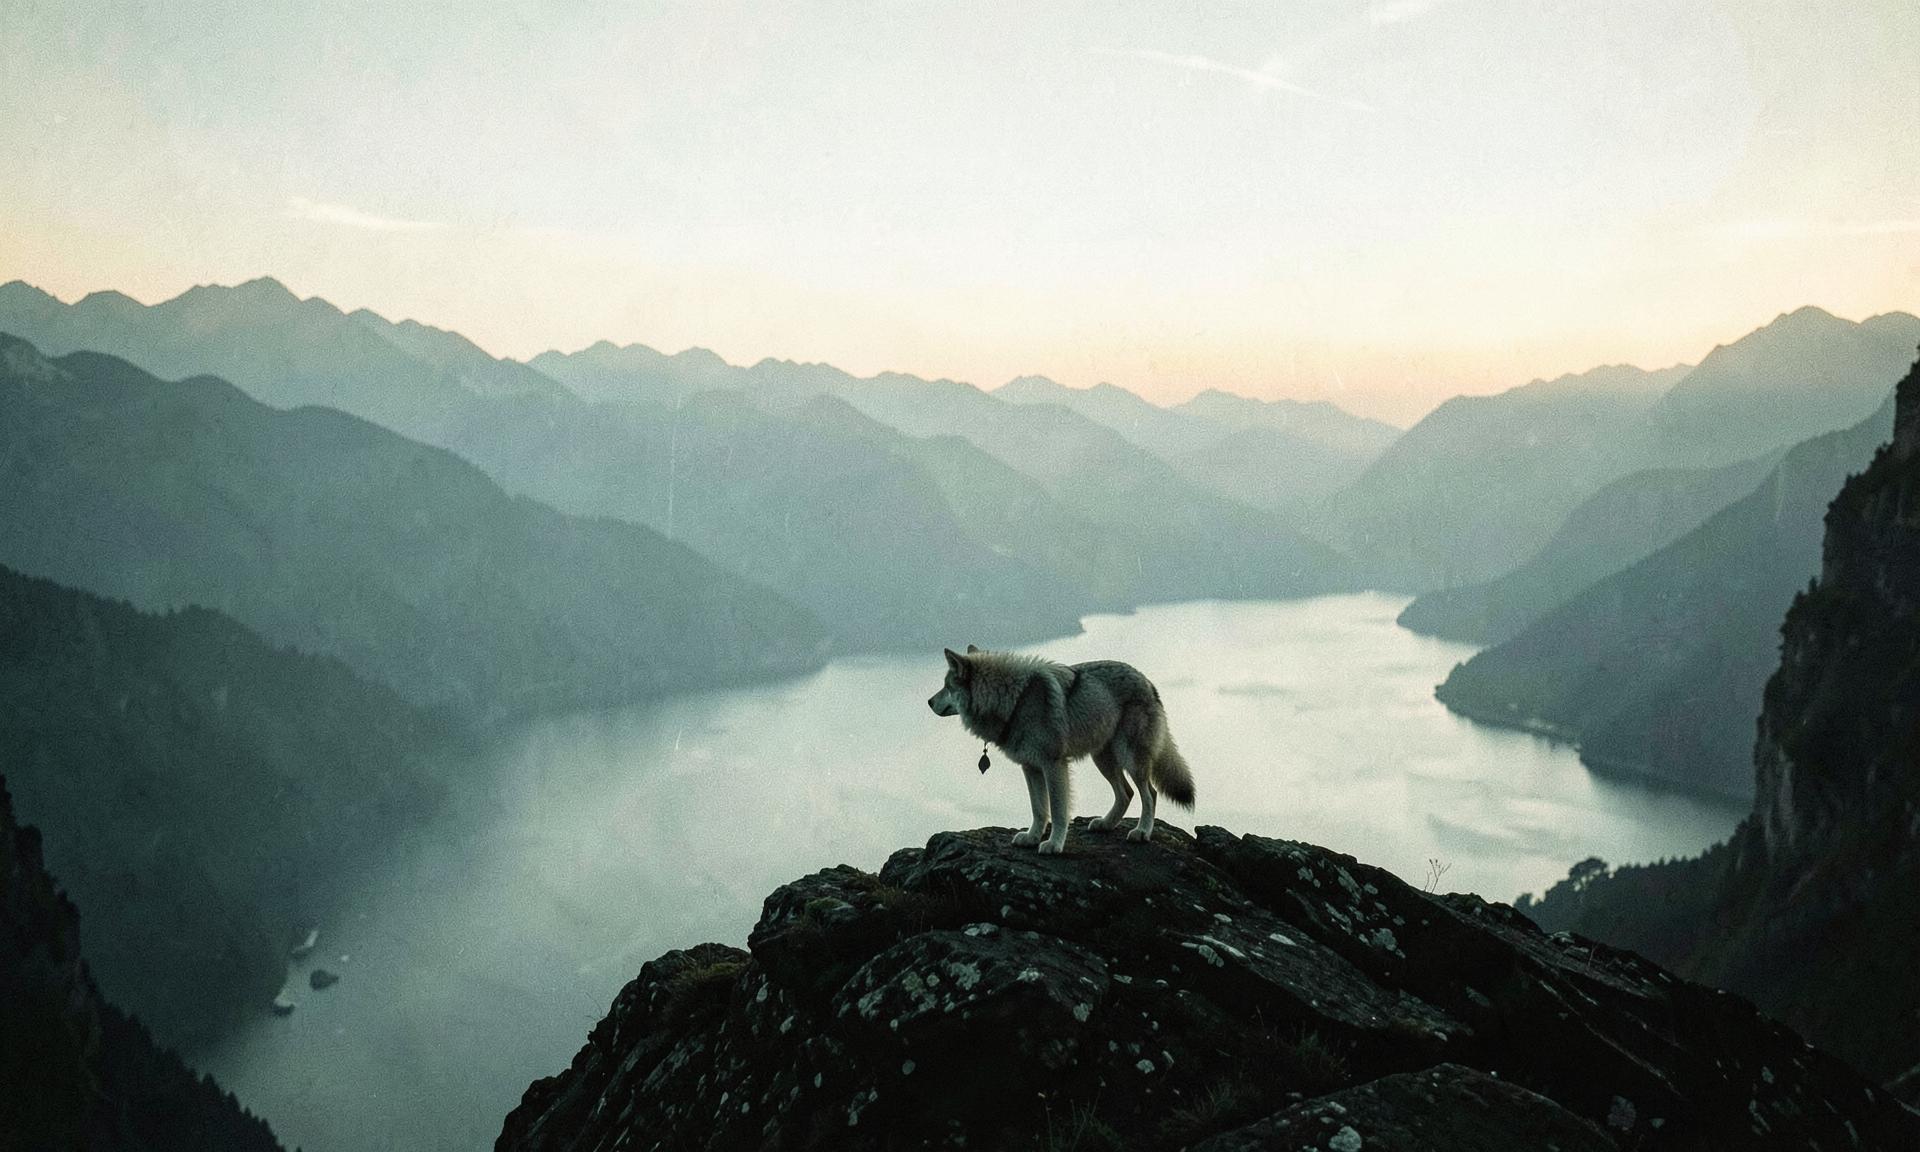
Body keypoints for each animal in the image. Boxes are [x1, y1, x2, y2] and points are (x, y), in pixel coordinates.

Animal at [927, 646, 1195, 854]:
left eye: (947, 687)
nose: (929, 702)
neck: (1016, 700)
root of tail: (1148, 682)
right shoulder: (1030, 768)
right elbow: (1038, 809)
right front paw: (1031, 838)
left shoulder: (1053, 765)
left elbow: (1057, 810)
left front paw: (1053, 845)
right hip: (1103, 760)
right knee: (1126, 793)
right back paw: (1106, 824)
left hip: (1130, 758)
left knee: (1150, 793)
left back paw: (1141, 832)